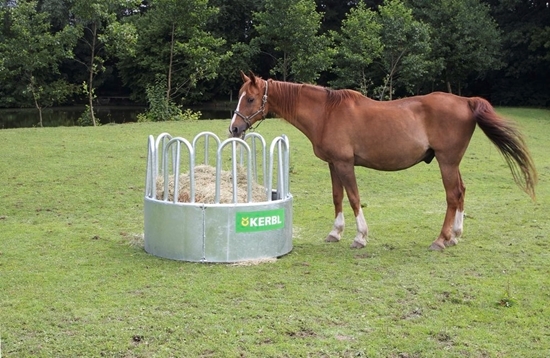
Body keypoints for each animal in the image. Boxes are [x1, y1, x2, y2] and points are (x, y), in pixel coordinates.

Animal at [230, 71, 540, 250]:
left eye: (251, 98)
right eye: (240, 96)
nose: (234, 128)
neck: (326, 113)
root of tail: (465, 101)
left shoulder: (345, 164)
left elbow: (354, 198)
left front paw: (360, 237)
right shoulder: (333, 164)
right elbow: (337, 197)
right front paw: (335, 232)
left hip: (447, 162)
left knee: (453, 195)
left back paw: (441, 240)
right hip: (453, 163)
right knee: (462, 192)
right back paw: (455, 235)